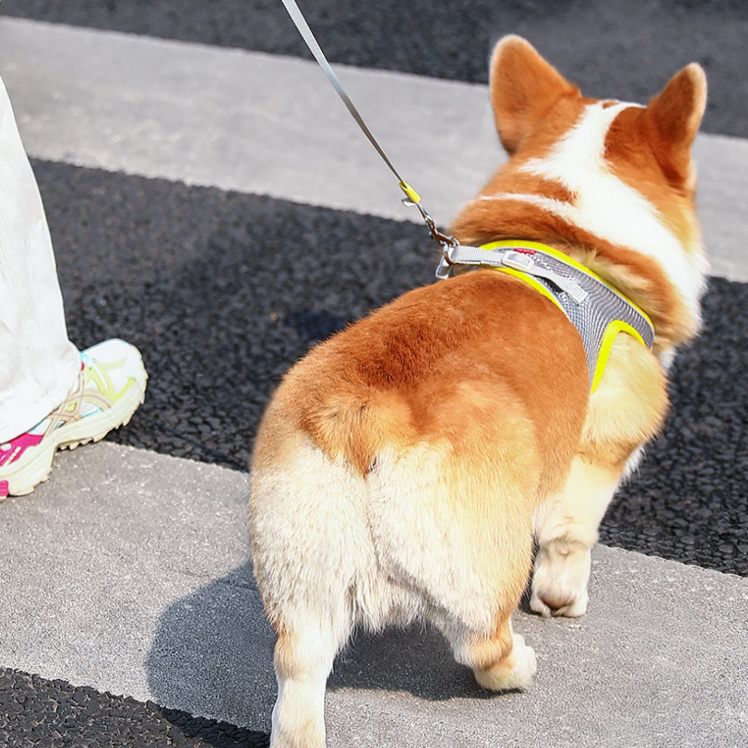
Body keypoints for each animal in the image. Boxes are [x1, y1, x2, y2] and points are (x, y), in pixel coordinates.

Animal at [250, 35, 708, 748]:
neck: (572, 238)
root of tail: (363, 415)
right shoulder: (595, 459)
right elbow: (572, 540)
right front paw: (563, 602)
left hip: (300, 571)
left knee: (298, 669)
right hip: (483, 560)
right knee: (481, 643)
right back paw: (520, 666)